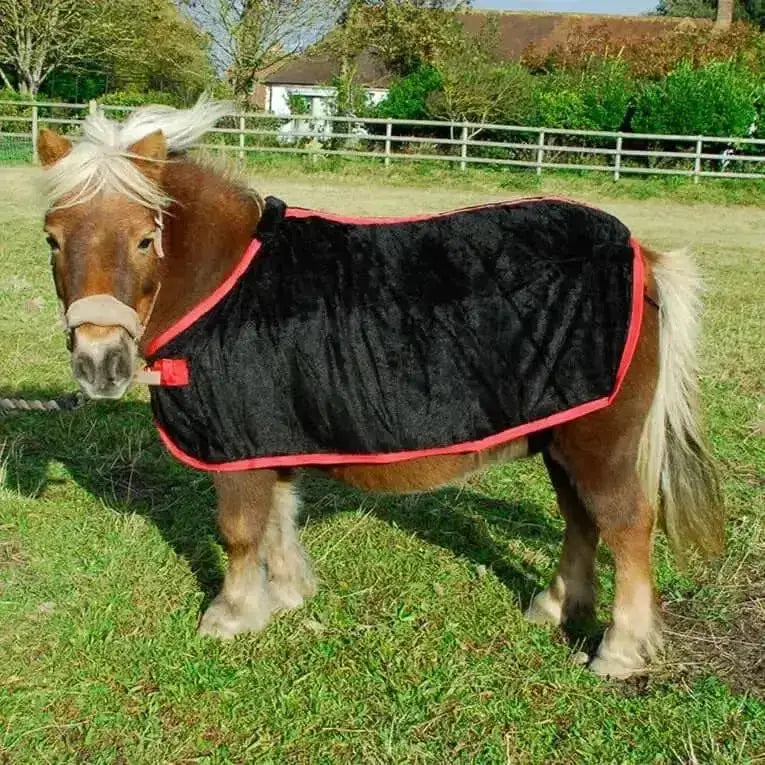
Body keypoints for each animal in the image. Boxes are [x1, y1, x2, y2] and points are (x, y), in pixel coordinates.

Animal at [35, 98, 723, 680]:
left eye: (145, 239)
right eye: (52, 238)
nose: (99, 362)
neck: (226, 284)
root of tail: (640, 254)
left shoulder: (238, 445)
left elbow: (239, 530)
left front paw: (231, 616)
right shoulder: (271, 436)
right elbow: (279, 518)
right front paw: (288, 594)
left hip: (599, 441)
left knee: (626, 525)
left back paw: (619, 651)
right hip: (559, 434)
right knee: (581, 519)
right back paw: (555, 607)